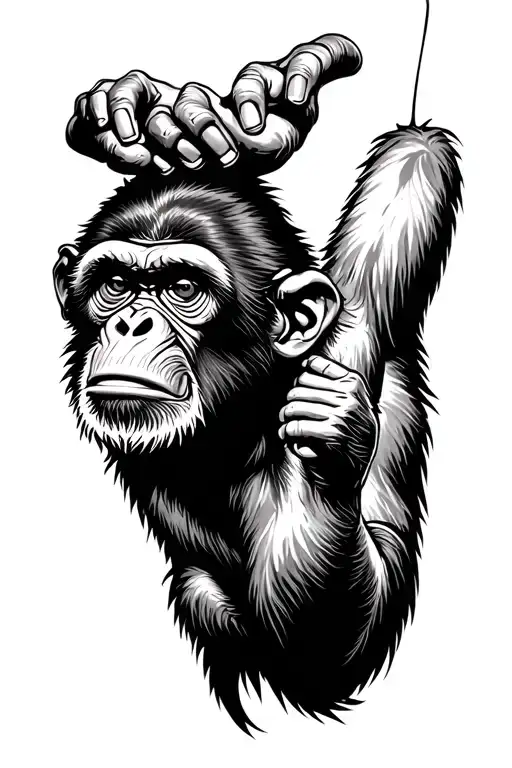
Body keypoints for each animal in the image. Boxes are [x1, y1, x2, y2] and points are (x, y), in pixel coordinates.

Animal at [55, 29, 462, 732]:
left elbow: (324, 642)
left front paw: (332, 436)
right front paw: (146, 115)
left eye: (181, 288)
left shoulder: (347, 346)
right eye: (116, 284)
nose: (132, 321)